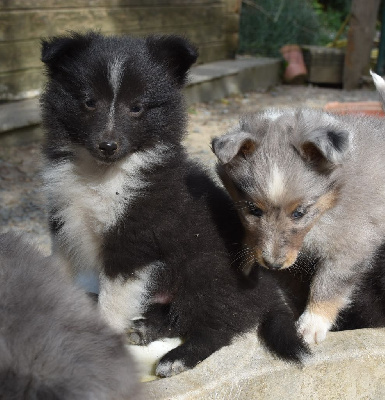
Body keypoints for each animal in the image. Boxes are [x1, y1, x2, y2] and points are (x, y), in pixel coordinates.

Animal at [40, 32, 308, 378]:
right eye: (88, 101)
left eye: (137, 107)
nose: (108, 145)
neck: (102, 174)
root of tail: (268, 292)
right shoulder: (63, 219)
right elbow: (59, 269)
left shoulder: (132, 241)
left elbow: (112, 302)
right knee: (178, 317)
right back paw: (144, 328)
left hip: (205, 272)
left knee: (216, 327)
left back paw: (176, 358)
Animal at [212, 90, 384, 344]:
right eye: (254, 210)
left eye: (299, 212)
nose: (273, 265)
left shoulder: (351, 243)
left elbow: (328, 284)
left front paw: (311, 324)